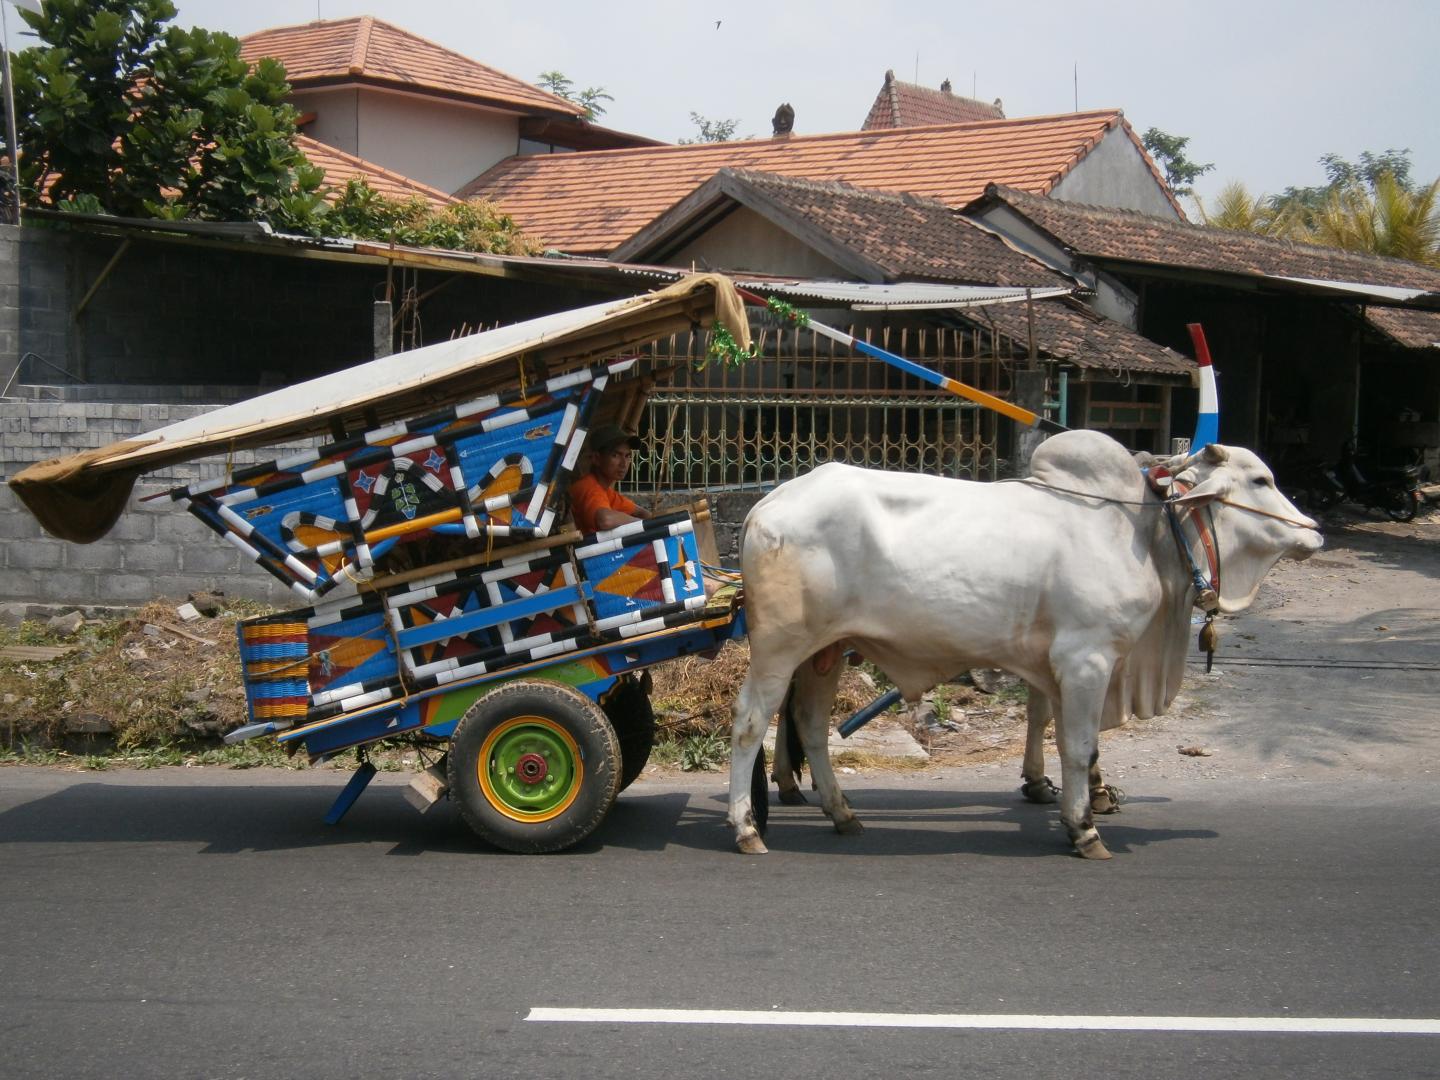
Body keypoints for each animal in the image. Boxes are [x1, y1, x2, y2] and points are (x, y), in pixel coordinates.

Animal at [726, 430, 1322, 859]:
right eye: (1260, 479)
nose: (1315, 531)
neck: (1139, 530)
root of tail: (767, 505)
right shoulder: (1087, 660)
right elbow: (1079, 747)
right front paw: (1085, 830)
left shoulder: (1058, 669)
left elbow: (1067, 740)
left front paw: (1069, 802)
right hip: (779, 647)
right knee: (750, 722)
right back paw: (747, 827)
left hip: (825, 651)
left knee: (810, 725)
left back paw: (842, 814)